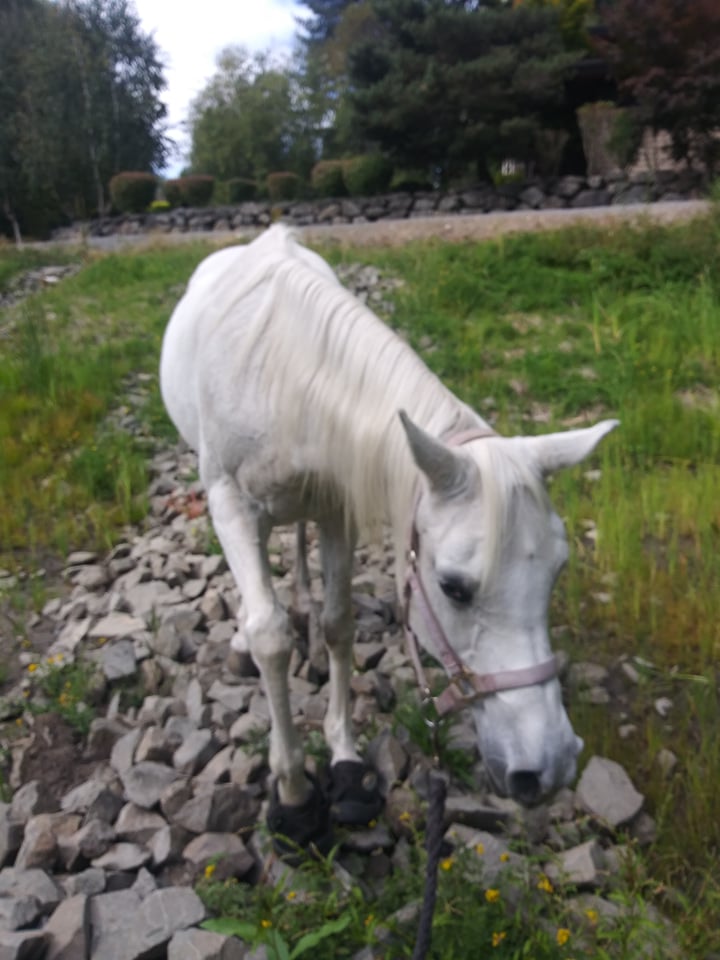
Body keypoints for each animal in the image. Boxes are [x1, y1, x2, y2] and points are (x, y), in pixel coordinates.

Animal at [160, 225, 616, 848]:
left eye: (557, 571)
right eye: (453, 587)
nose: (548, 768)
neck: (280, 377)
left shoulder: (335, 507)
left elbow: (337, 623)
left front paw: (346, 762)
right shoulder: (230, 505)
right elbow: (270, 637)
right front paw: (294, 794)